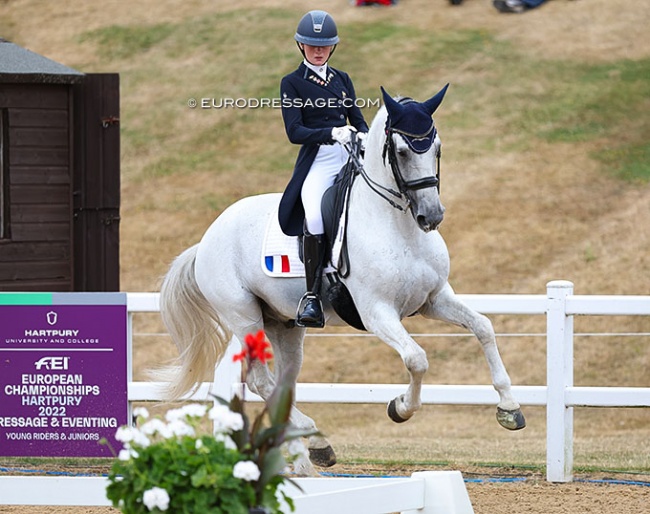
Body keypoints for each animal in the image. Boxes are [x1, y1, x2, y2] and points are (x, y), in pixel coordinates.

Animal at [159, 84, 524, 472]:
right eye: (401, 151)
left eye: (437, 147)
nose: (432, 216)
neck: (398, 226)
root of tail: (207, 238)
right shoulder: (377, 312)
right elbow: (417, 359)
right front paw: (400, 408)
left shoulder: (434, 299)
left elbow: (483, 327)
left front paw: (509, 408)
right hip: (244, 318)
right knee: (260, 381)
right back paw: (311, 445)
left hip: (285, 325)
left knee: (281, 384)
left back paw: (306, 454)